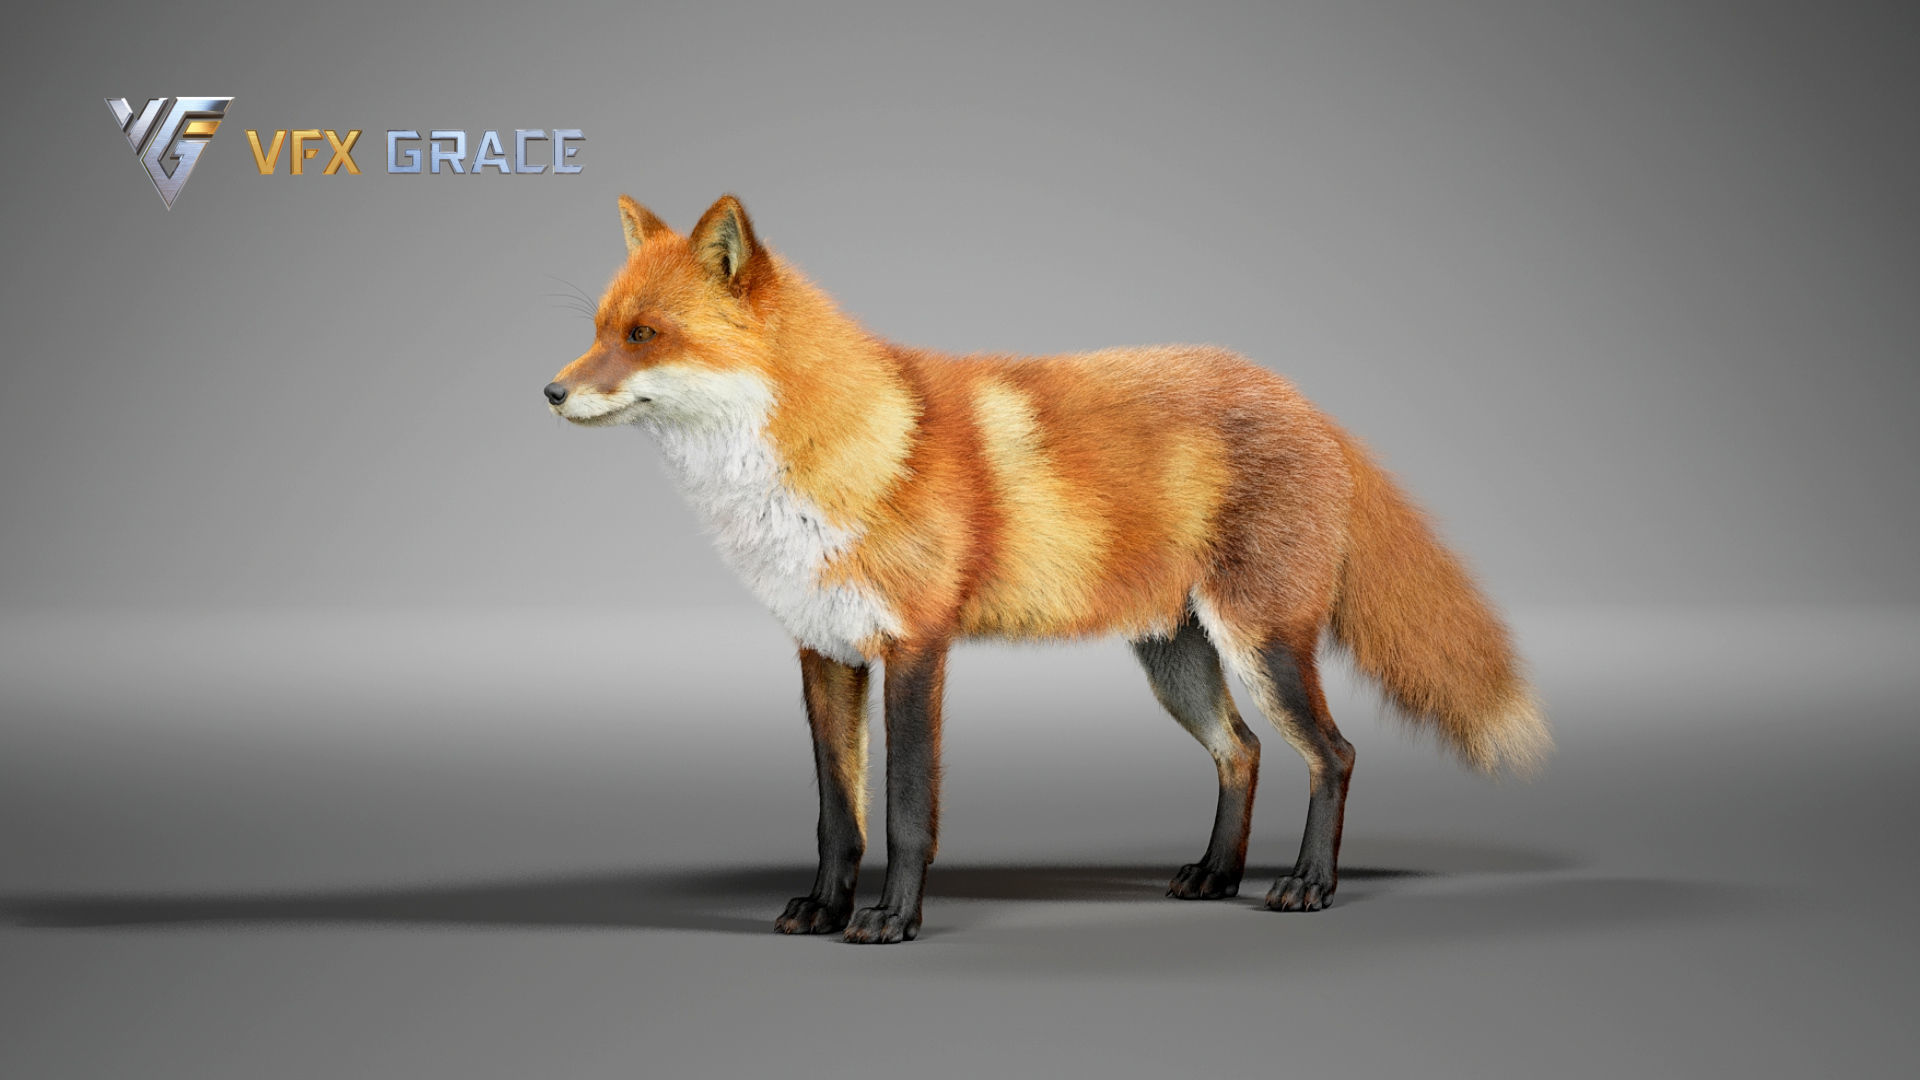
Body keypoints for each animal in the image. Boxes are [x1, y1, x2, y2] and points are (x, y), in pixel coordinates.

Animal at [543, 193, 1550, 944]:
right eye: (598, 329)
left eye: (645, 334)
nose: (549, 391)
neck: (833, 458)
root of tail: (1304, 402)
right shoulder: (823, 652)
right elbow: (838, 815)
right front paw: (825, 909)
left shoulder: (916, 649)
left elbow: (904, 811)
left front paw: (892, 921)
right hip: (1177, 661)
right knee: (1244, 751)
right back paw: (1216, 875)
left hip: (1263, 645)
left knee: (1332, 754)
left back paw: (1307, 884)